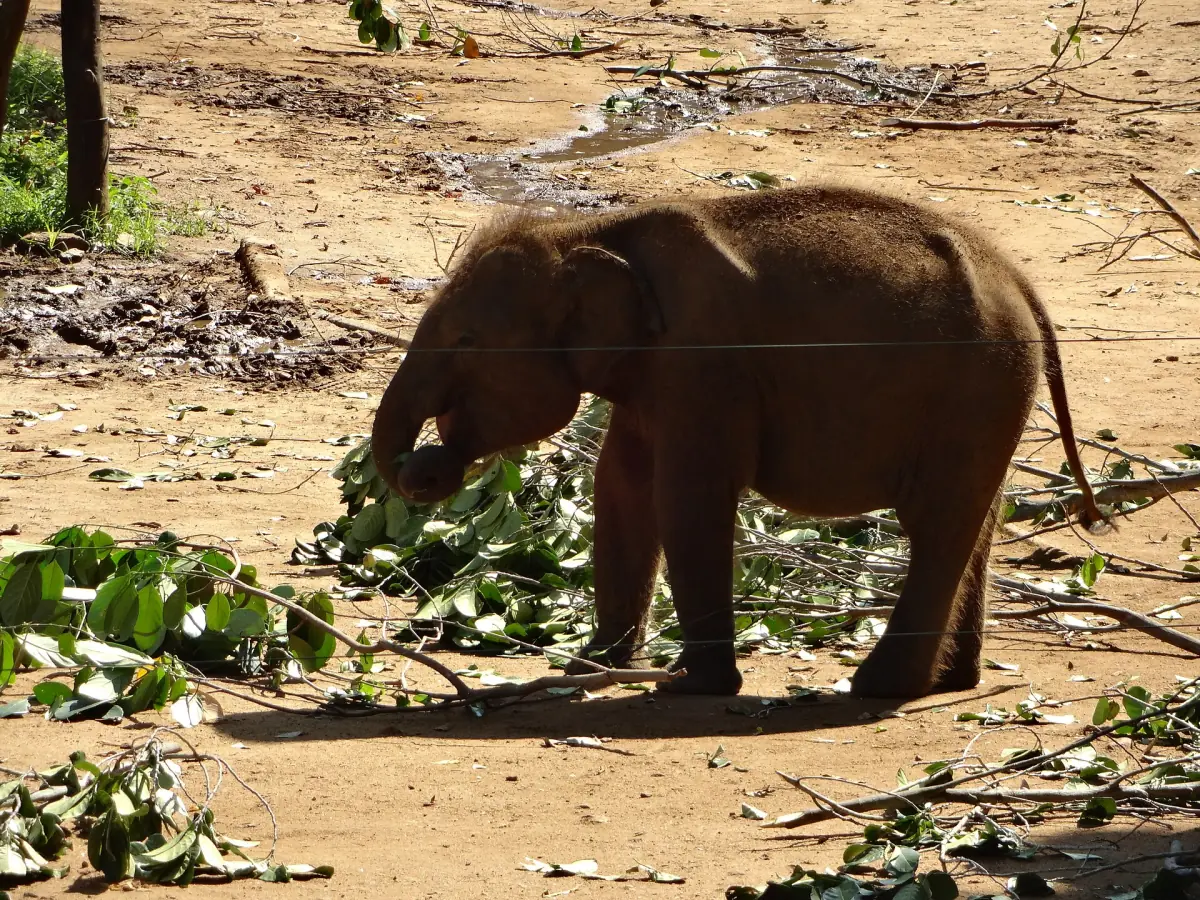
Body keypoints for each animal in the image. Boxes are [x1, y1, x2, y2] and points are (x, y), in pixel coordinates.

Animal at [370, 185, 1103, 699]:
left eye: (466, 340)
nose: (424, 466)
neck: (586, 232)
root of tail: (1020, 283)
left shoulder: (704, 366)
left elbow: (687, 497)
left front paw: (693, 686)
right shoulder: (653, 376)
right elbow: (621, 489)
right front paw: (593, 667)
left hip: (974, 387)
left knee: (936, 523)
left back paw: (876, 687)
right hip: (992, 396)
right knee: (978, 518)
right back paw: (952, 681)